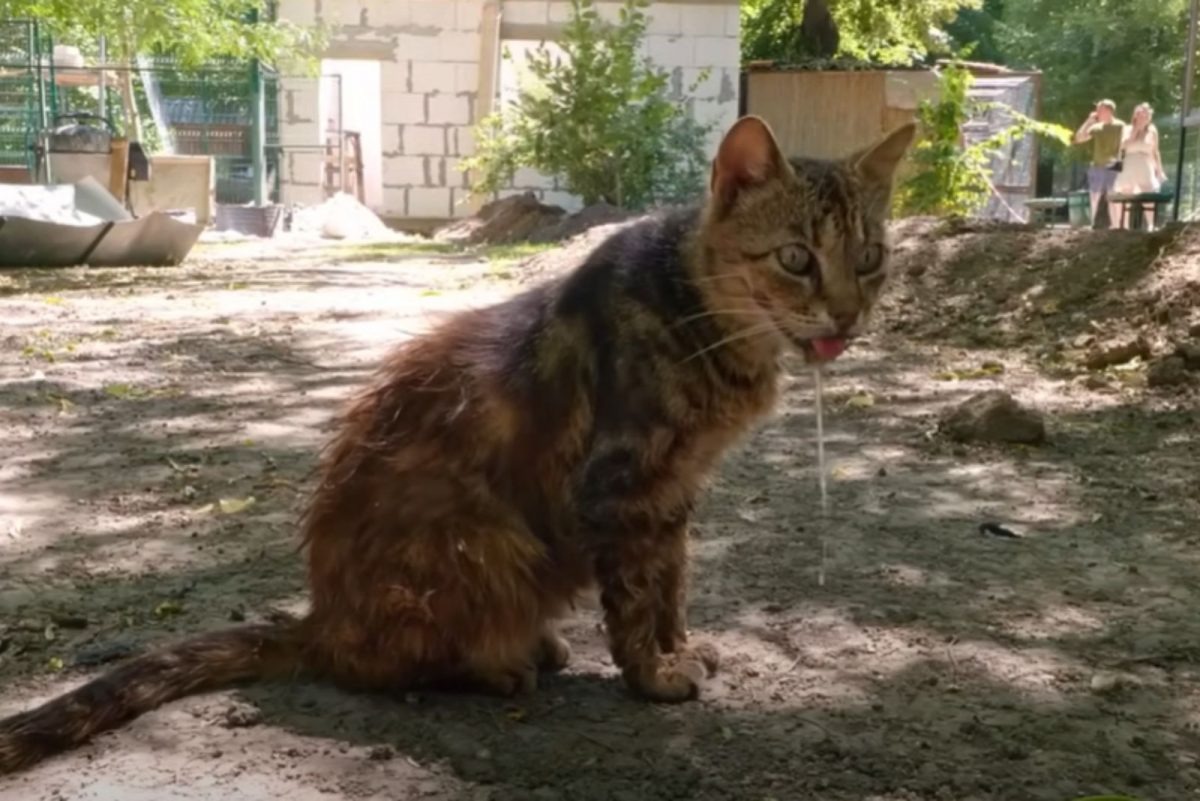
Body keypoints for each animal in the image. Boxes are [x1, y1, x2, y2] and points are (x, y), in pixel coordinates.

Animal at [0, 115, 912, 772]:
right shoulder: (621, 488)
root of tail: (321, 615)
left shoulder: (676, 491)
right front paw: (652, 674)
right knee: (378, 664)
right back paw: (502, 661)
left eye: (870, 257)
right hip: (488, 538)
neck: (707, 324)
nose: (847, 313)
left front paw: (679, 647)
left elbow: (673, 585)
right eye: (796, 258)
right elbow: (634, 599)